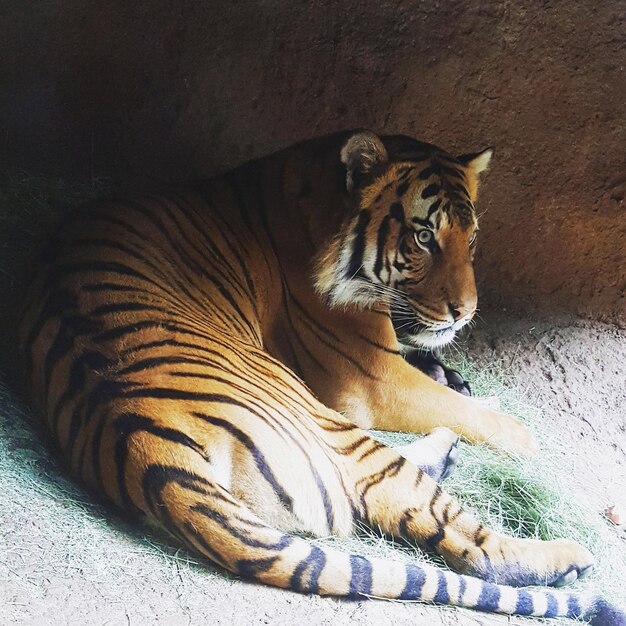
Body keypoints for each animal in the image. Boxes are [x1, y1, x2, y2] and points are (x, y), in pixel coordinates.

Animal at [17, 129, 620, 620]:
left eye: (470, 238)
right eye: (424, 237)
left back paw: (447, 450)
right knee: (445, 529)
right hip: (322, 417)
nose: (465, 313)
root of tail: (154, 458)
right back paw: (565, 556)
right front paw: (516, 429)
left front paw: (452, 373)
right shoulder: (370, 378)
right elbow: (480, 416)